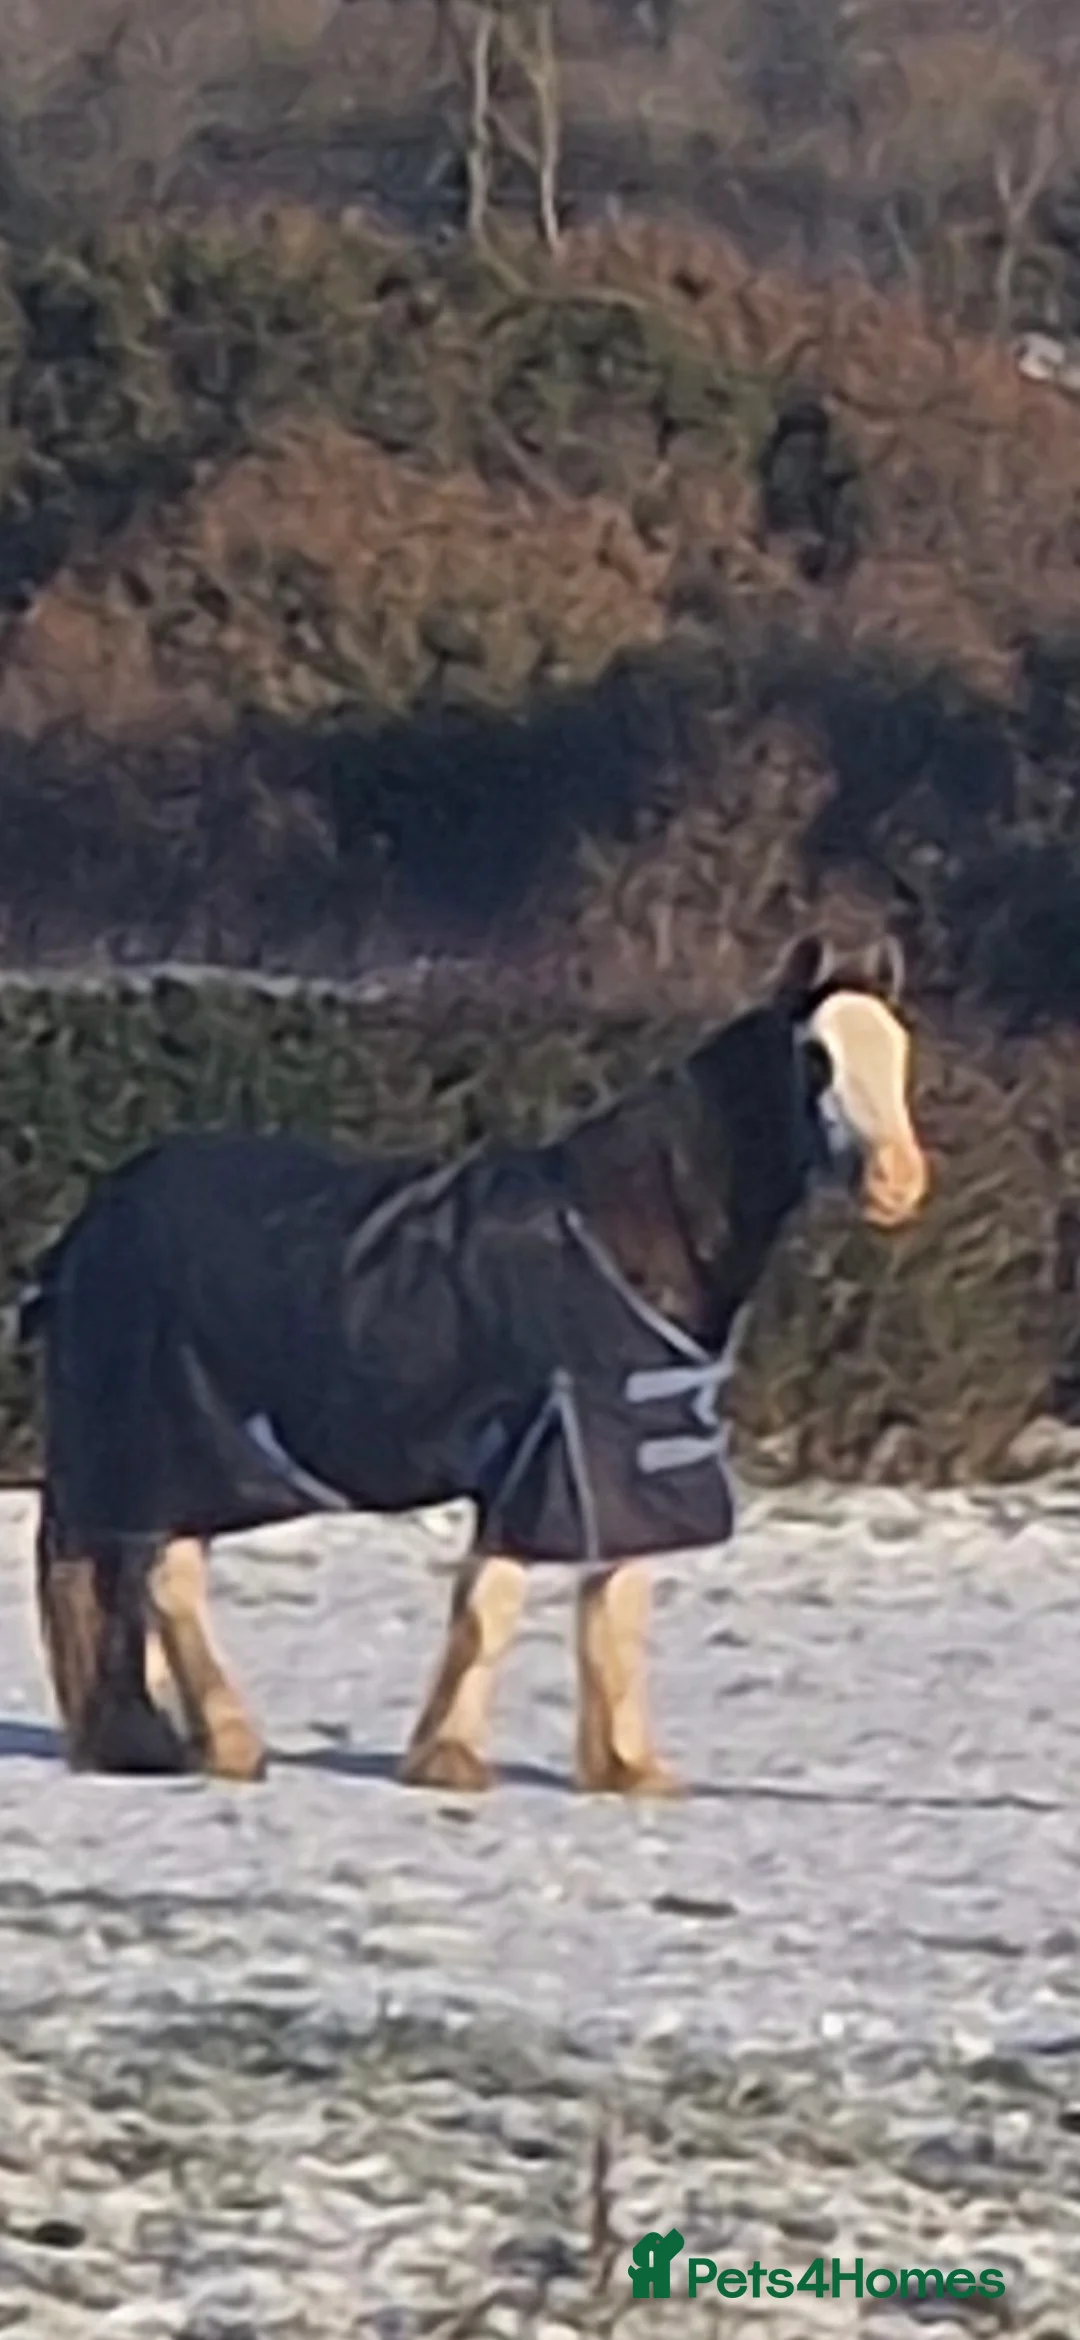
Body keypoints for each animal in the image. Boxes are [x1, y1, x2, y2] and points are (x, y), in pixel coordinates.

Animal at [18, 931, 929, 1795]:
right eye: (816, 1056)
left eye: (899, 1048)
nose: (897, 1183)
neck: (622, 1235)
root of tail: (96, 1224)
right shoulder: (543, 1453)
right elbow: (494, 1601)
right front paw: (449, 1760)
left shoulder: (627, 1457)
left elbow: (618, 1603)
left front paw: (629, 1770)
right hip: (168, 1447)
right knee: (164, 1580)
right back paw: (232, 1744)